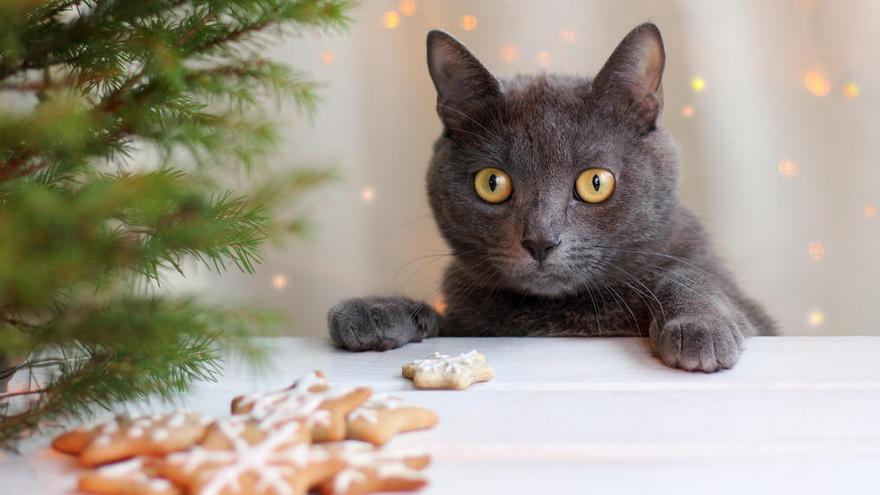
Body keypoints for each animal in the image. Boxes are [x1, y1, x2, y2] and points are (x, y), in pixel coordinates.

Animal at [326, 23, 772, 372]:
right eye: (493, 183)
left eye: (596, 183)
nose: (540, 241)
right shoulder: (464, 322)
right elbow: (440, 321)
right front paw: (375, 312)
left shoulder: (752, 313)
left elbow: (689, 276)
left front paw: (699, 328)